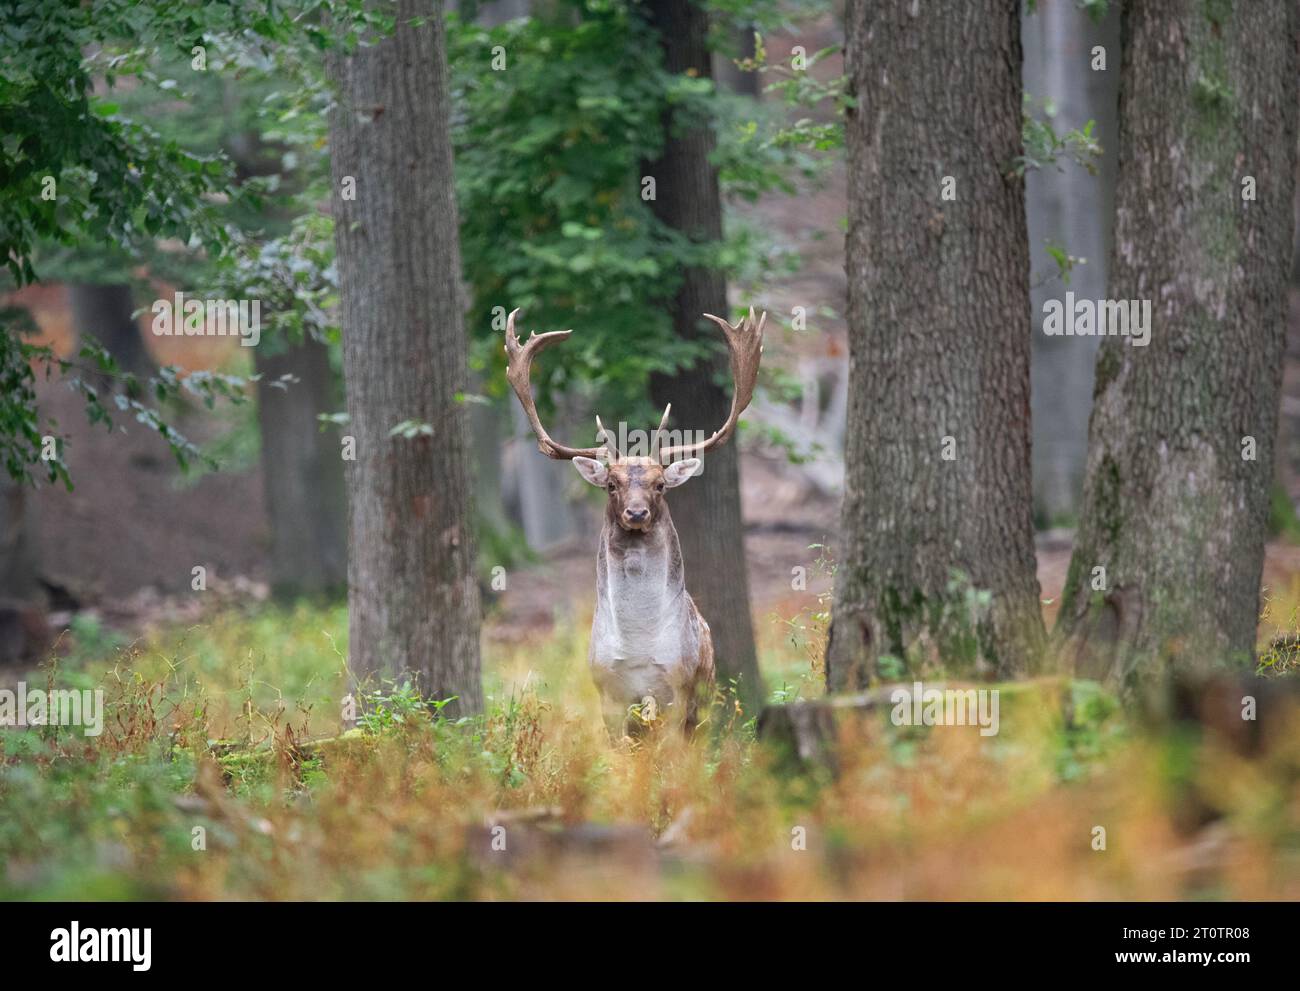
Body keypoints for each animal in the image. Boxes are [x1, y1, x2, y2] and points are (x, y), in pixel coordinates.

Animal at [504, 307, 765, 740]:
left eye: (660, 484)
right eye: (611, 485)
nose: (637, 514)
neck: (639, 648)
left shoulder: (678, 689)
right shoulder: (607, 694)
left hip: (704, 702)